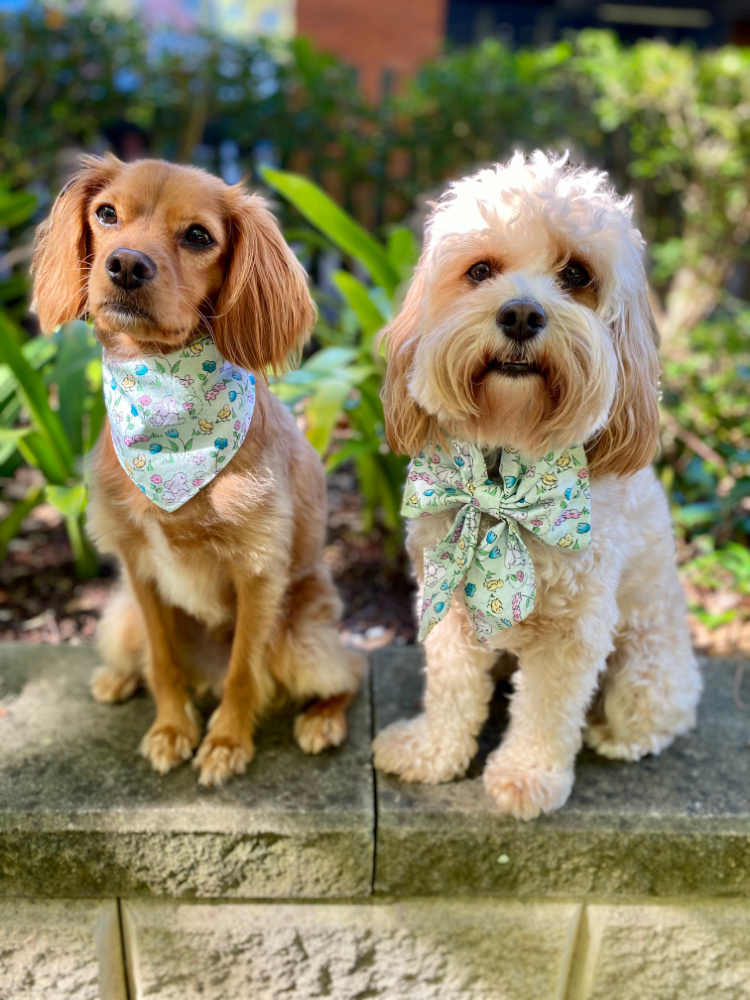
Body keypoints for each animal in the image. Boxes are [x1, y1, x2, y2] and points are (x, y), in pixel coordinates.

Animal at [33, 156, 364, 784]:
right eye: (106, 214)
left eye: (198, 236)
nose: (125, 265)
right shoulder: (137, 566)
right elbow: (163, 661)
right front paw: (172, 730)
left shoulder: (258, 572)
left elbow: (243, 670)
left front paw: (226, 743)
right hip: (119, 618)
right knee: (146, 656)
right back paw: (118, 678)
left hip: (302, 638)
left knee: (351, 672)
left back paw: (322, 720)